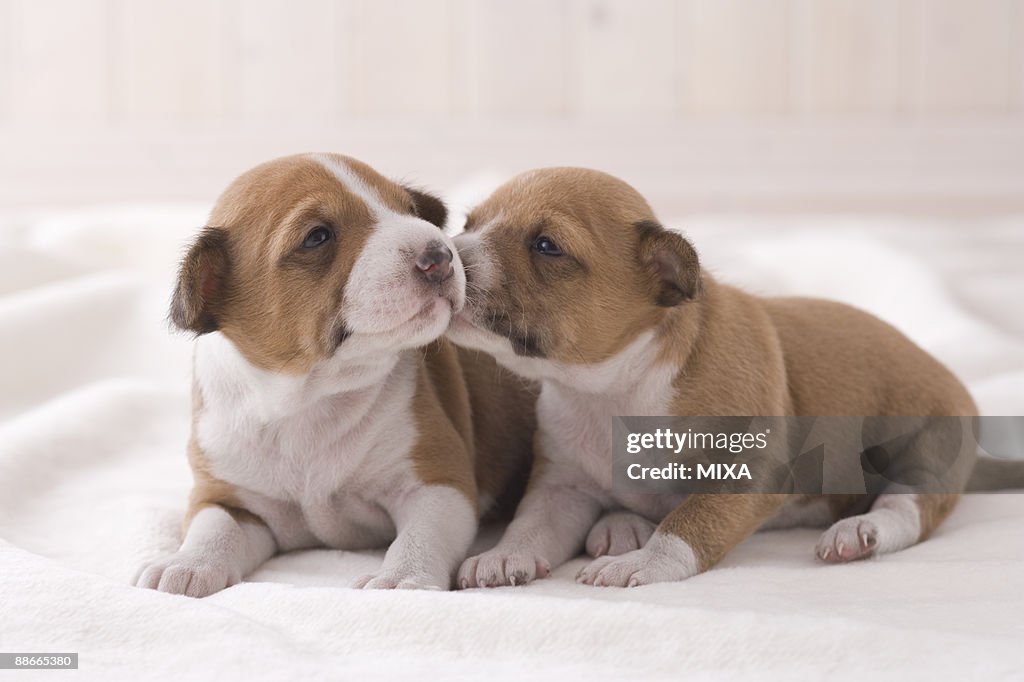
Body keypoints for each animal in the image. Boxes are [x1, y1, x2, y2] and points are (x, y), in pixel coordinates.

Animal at [133, 153, 536, 593]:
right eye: (318, 236)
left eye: (408, 210)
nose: (440, 256)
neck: (310, 398)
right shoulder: (229, 498)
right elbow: (213, 529)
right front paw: (186, 563)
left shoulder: (437, 483)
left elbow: (420, 536)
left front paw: (400, 576)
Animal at [448, 166, 991, 585]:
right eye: (467, 223)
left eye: (547, 245)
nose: (447, 255)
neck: (611, 389)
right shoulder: (562, 486)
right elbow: (531, 524)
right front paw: (502, 555)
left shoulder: (745, 471)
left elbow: (688, 524)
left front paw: (643, 562)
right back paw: (621, 525)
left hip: (929, 451)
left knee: (907, 508)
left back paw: (860, 532)